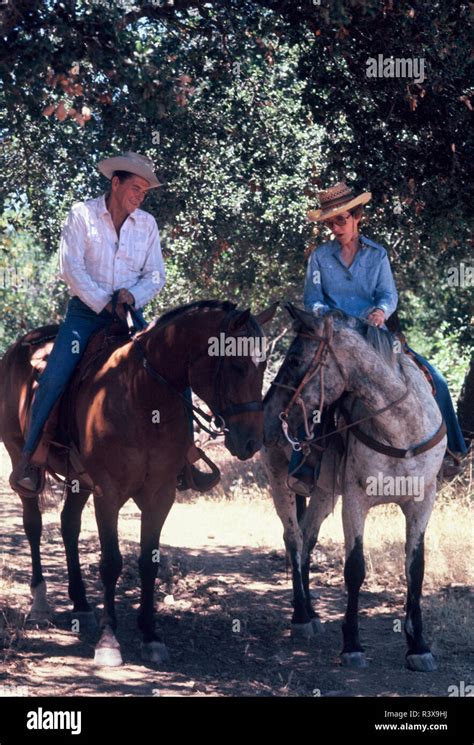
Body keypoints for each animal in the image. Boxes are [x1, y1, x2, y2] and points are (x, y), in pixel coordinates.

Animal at [0, 300, 274, 664]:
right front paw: (109, 642)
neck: (142, 396)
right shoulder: (108, 492)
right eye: (237, 365)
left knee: (69, 525)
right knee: (33, 524)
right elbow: (111, 562)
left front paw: (151, 635)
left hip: (79, 480)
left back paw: (82, 604)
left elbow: (148, 562)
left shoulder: (160, 494)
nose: (251, 442)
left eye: (264, 365)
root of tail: (18, 347)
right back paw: (41, 603)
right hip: (19, 455)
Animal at [262, 306, 446, 672]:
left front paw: (418, 646)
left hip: (322, 492)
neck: (401, 428)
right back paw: (301, 617)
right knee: (293, 538)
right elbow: (355, 568)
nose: (270, 415)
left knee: (307, 537)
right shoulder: (355, 500)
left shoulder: (422, 502)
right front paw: (352, 645)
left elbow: (415, 569)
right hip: (278, 479)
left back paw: (312, 612)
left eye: (295, 359)